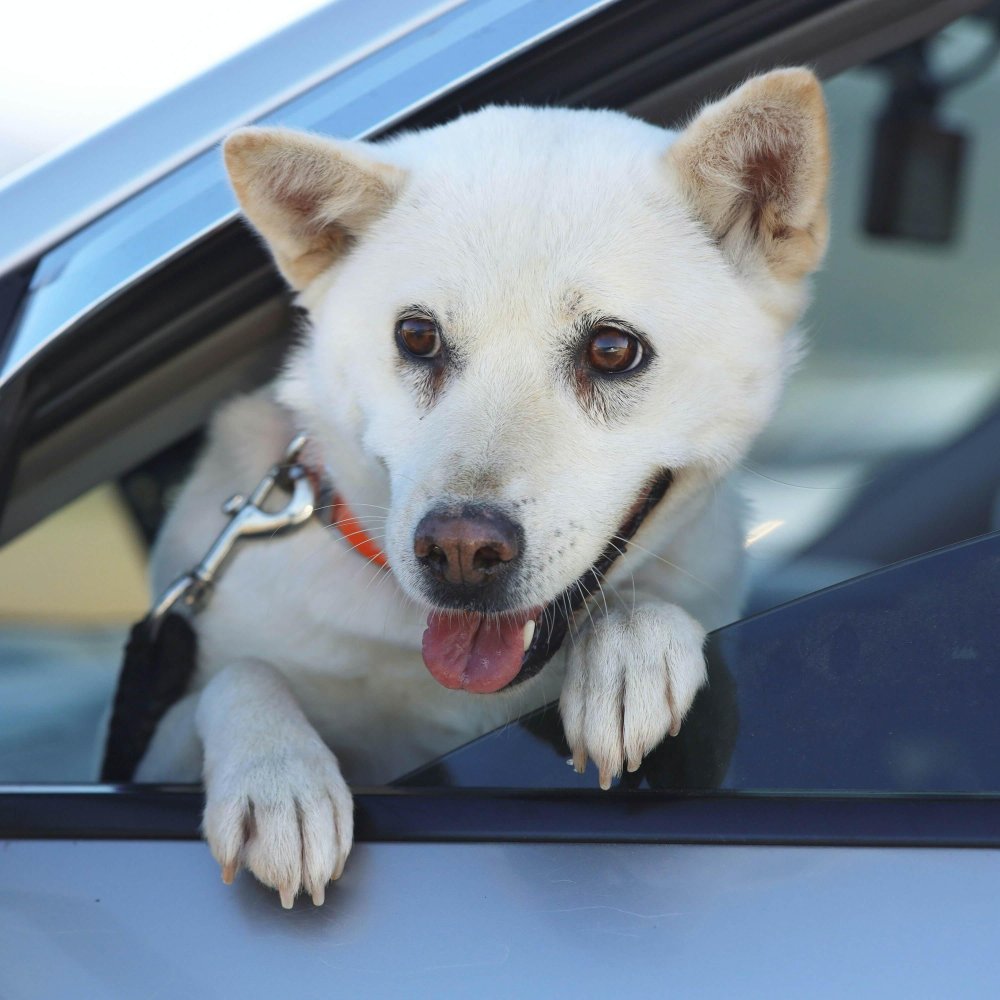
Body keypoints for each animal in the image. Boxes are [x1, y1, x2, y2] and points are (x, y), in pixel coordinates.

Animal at [137, 68, 832, 908]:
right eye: (416, 337)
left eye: (612, 350)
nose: (460, 552)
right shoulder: (154, 747)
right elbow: (239, 675)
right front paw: (277, 776)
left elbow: (660, 625)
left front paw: (629, 647)